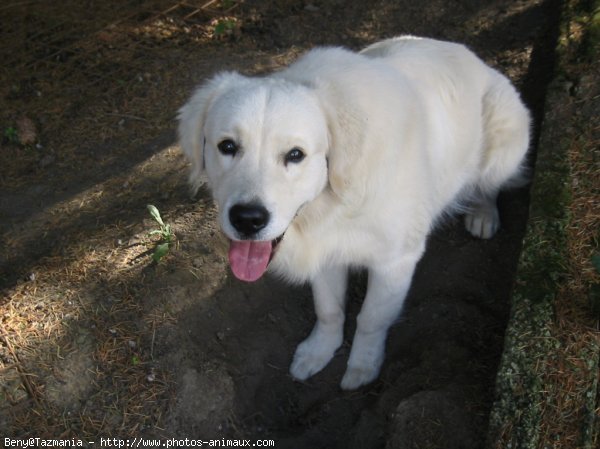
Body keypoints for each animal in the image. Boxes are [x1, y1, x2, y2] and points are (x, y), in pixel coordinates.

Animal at [178, 36, 528, 390]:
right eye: (227, 146)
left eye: (295, 154)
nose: (247, 219)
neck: (337, 203)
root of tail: (467, 53)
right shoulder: (324, 250)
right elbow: (329, 309)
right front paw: (319, 351)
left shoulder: (396, 261)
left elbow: (371, 318)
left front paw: (363, 364)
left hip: (504, 142)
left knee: (489, 185)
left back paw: (483, 213)